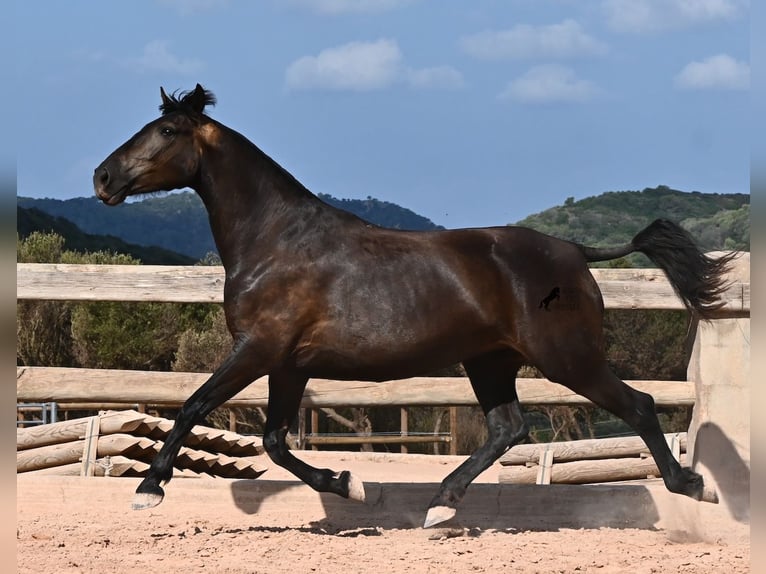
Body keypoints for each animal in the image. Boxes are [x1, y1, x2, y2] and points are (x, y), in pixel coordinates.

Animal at [94, 84, 734, 528]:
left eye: (167, 129)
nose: (102, 178)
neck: (276, 241)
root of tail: (575, 251)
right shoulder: (288, 364)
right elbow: (275, 442)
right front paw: (347, 482)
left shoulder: (258, 349)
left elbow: (193, 406)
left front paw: (149, 489)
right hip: (490, 361)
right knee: (508, 428)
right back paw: (441, 505)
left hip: (566, 357)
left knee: (638, 406)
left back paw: (691, 485)